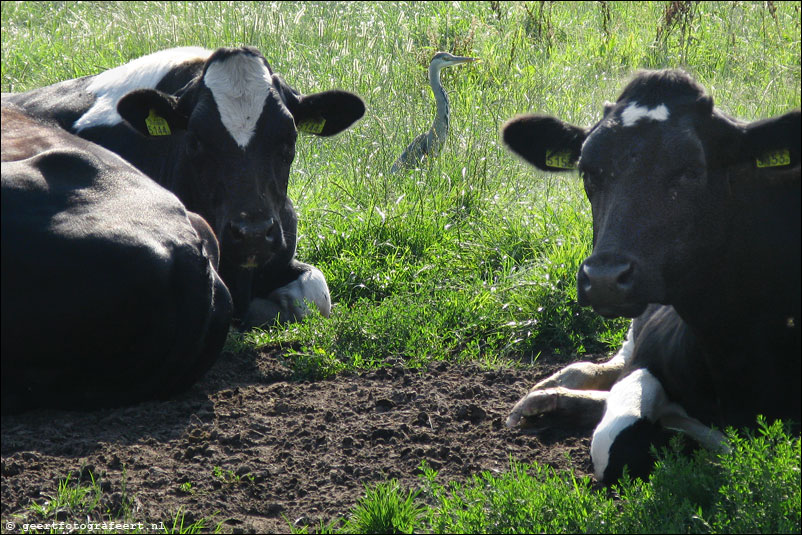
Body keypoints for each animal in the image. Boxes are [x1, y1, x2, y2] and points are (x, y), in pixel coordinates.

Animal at [500, 69, 792, 484]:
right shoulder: (648, 359)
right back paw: (549, 392)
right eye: (587, 171)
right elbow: (614, 438)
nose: (604, 278)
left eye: (691, 170)